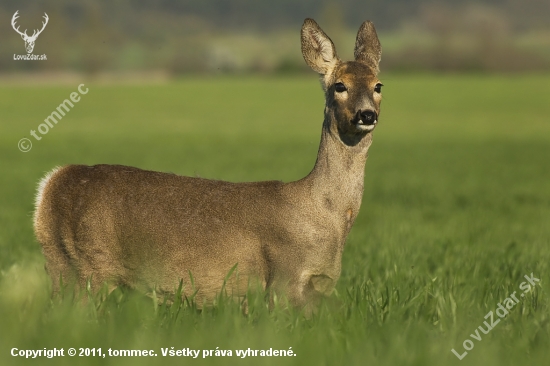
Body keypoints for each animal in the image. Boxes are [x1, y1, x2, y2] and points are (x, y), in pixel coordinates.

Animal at [33, 18, 384, 312]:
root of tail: (51, 184)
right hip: (87, 268)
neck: (329, 217)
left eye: (378, 85)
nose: (367, 114)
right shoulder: (285, 277)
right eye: (339, 85)